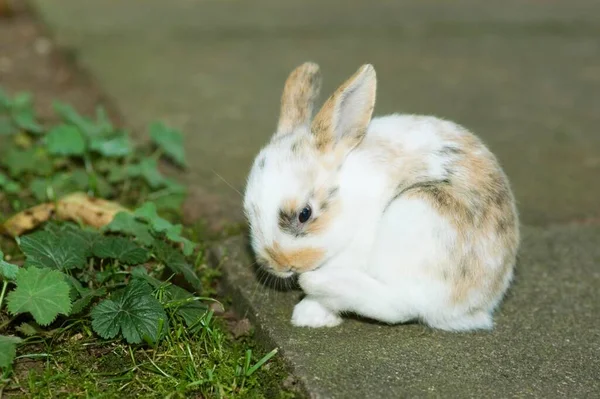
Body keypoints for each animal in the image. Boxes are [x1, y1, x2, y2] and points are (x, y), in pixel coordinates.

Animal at [241, 61, 516, 332]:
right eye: (249, 215)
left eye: (304, 214)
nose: (279, 265)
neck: (349, 202)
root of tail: (478, 304)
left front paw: (309, 313)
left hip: (418, 212)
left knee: (401, 305)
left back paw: (314, 283)